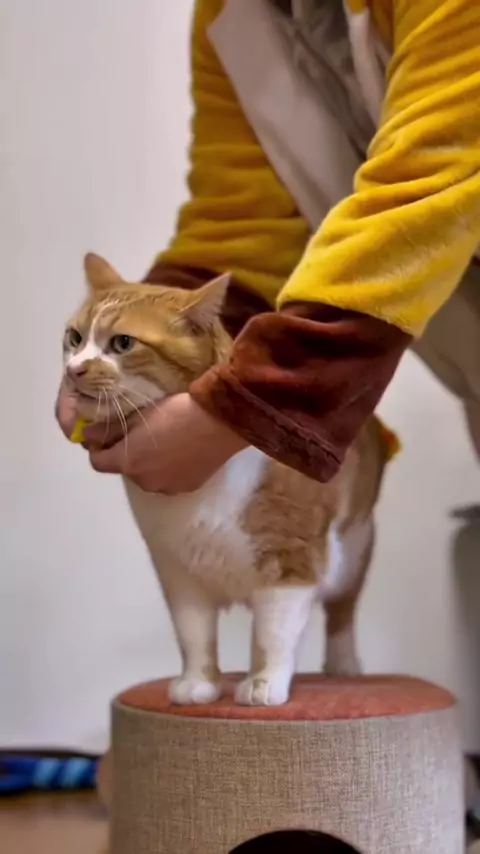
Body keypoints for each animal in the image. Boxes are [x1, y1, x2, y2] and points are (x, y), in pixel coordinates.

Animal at [63, 253, 396, 707]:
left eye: (123, 343)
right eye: (75, 338)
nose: (74, 370)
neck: (196, 495)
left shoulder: (290, 563)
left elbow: (273, 635)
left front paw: (263, 684)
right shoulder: (178, 571)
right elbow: (194, 635)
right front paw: (198, 684)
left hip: (353, 550)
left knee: (342, 612)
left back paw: (343, 666)